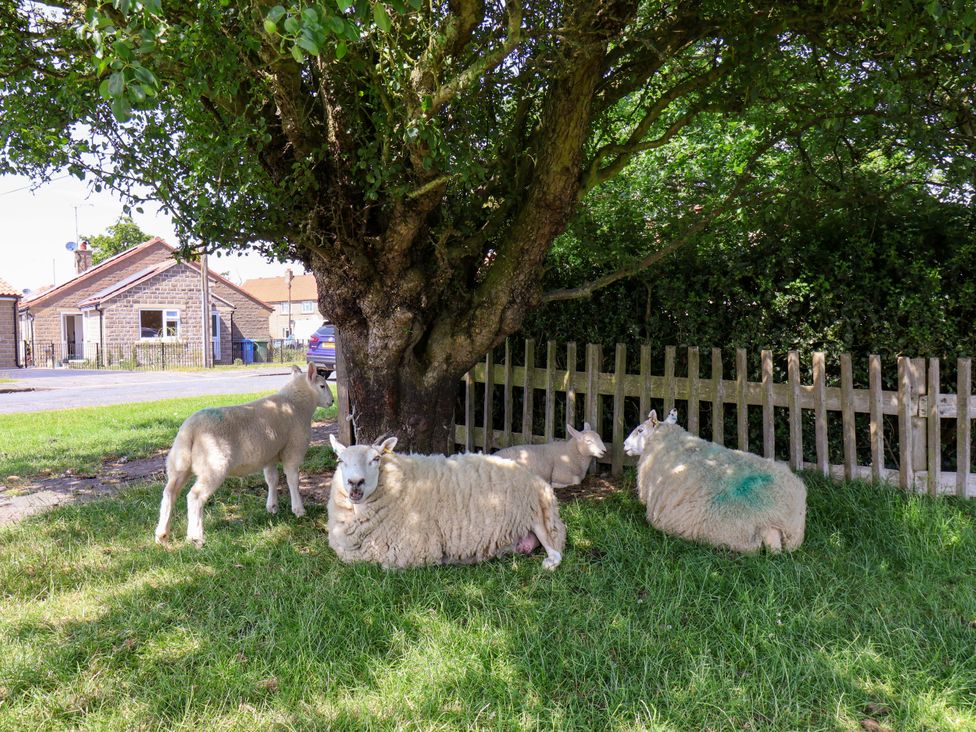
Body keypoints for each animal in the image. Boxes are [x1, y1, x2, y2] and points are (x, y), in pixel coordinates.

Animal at [154, 362, 334, 546]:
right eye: (322, 386)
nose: (332, 401)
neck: (297, 404)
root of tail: (190, 429)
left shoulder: (269, 455)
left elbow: (272, 480)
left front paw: (272, 507)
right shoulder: (294, 450)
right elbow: (292, 480)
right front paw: (299, 510)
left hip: (179, 463)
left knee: (169, 492)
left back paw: (162, 534)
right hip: (214, 465)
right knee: (195, 496)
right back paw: (196, 537)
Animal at [327, 435, 567, 570]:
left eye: (376, 459)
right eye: (340, 460)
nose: (355, 482)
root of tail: (534, 477)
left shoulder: (409, 551)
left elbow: (387, 566)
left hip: (535, 512)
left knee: (556, 553)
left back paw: (549, 563)